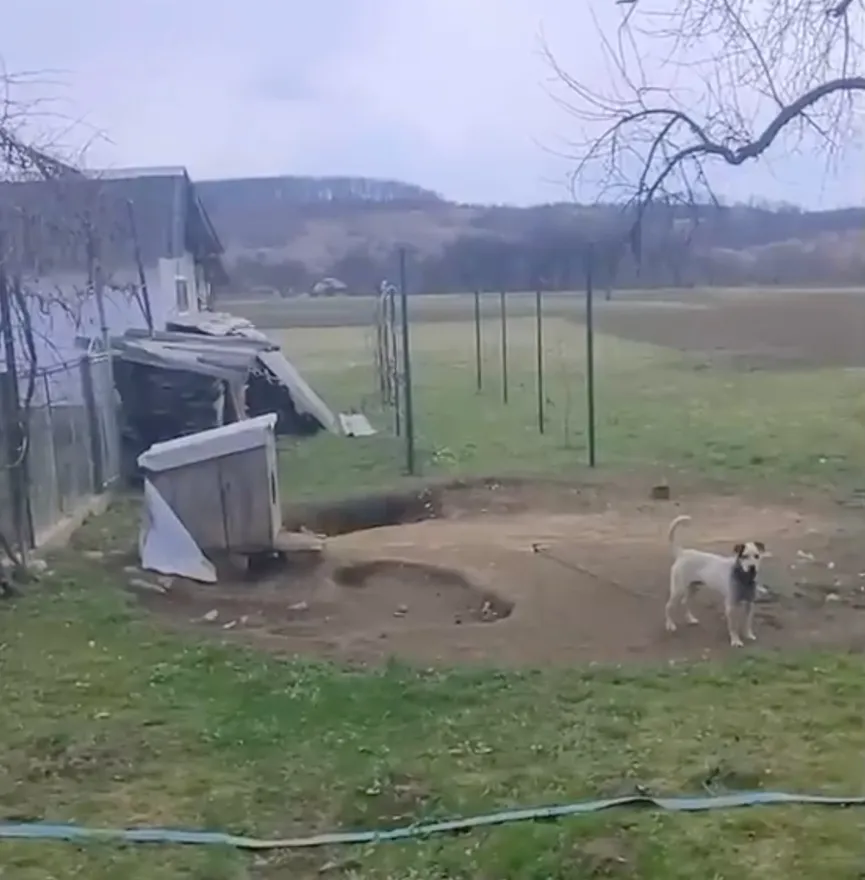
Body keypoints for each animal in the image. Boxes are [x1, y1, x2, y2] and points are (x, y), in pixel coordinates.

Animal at [664, 512, 768, 648]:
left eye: (757, 556)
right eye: (744, 556)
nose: (752, 568)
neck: (743, 578)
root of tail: (683, 552)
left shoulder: (749, 604)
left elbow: (747, 623)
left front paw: (748, 634)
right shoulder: (731, 605)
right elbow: (734, 626)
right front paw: (735, 640)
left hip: (693, 588)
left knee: (685, 602)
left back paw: (690, 619)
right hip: (678, 589)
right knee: (668, 606)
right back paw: (670, 624)